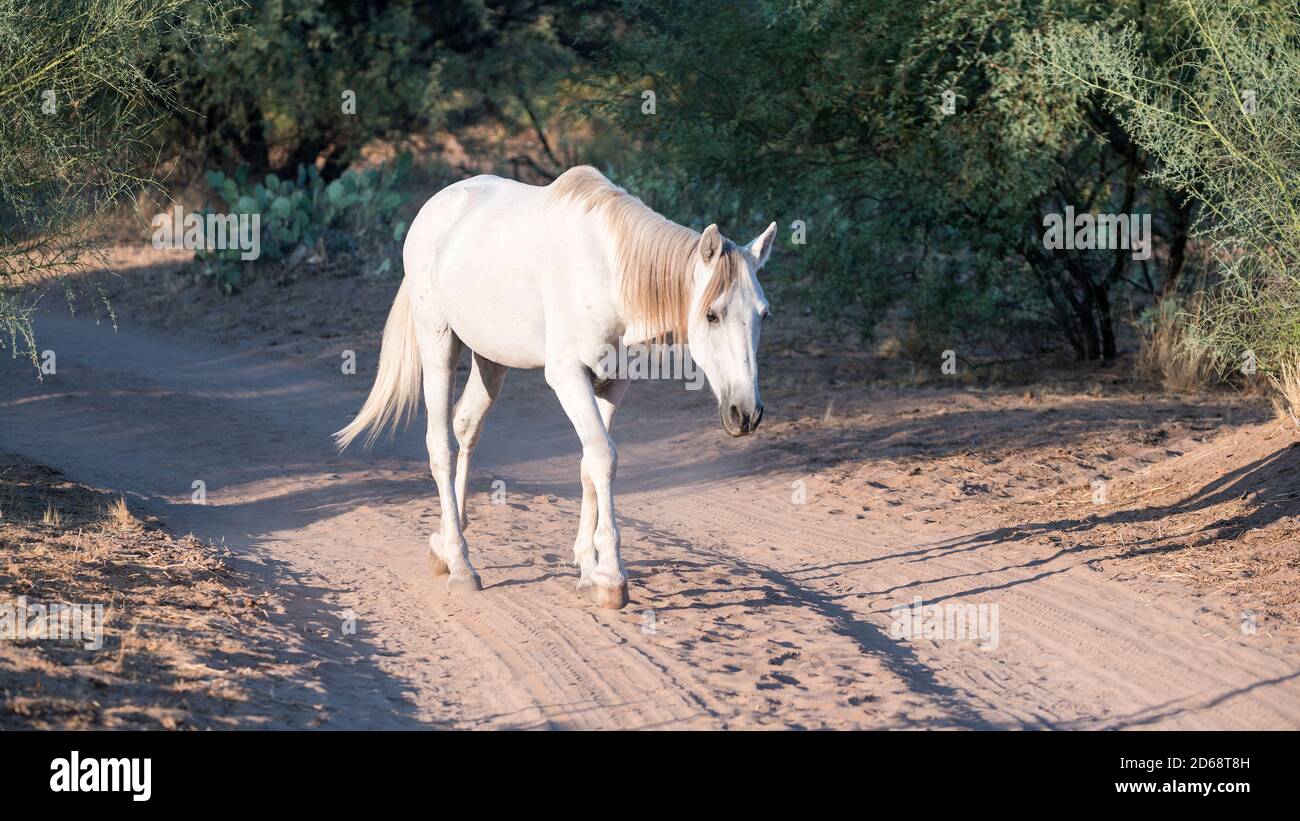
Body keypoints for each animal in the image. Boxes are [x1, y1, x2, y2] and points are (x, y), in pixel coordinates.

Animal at [335, 166, 776, 609]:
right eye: (712, 315)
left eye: (764, 314)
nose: (746, 413)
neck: (606, 272)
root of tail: (433, 208)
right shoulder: (567, 376)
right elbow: (603, 458)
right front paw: (611, 579)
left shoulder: (614, 382)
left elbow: (589, 463)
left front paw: (588, 568)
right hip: (438, 344)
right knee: (440, 446)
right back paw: (461, 565)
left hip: (491, 359)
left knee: (466, 426)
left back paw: (445, 543)